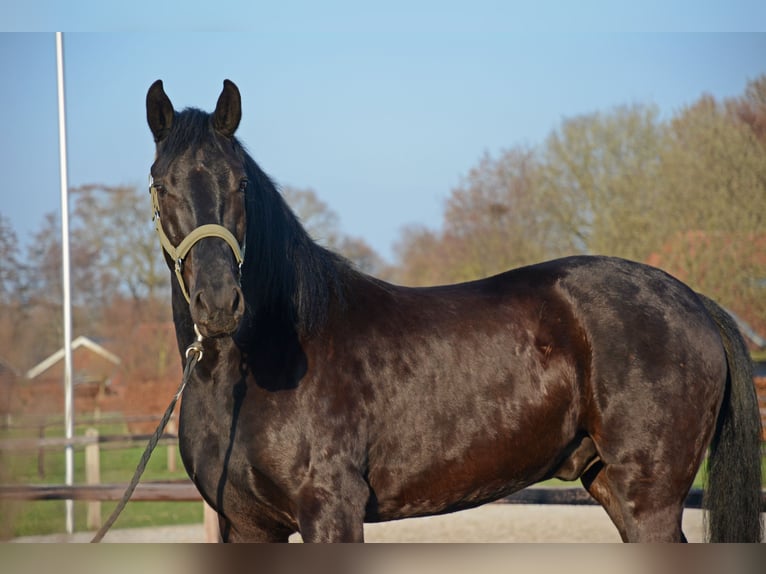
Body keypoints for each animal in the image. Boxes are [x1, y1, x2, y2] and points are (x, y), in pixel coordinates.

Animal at [145, 79, 762, 542]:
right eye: (161, 186)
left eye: (240, 184)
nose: (220, 303)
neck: (259, 363)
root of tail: (693, 300)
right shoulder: (248, 525)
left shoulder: (329, 511)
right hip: (610, 485)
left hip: (649, 496)